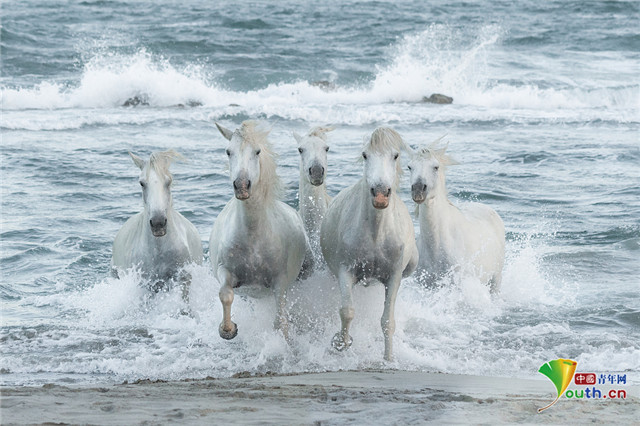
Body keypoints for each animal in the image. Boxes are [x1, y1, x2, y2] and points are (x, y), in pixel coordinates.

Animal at [111, 151, 204, 296]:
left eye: (169, 181)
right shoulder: (146, 285)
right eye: (142, 183)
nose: (158, 223)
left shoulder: (183, 279)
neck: (159, 250)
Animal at [210, 120, 308, 340]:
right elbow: (225, 294)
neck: (252, 237)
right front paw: (227, 329)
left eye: (257, 151)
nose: (241, 186)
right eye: (228, 151)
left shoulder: (280, 282)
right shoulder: (224, 269)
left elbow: (280, 320)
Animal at [320, 126, 420, 360]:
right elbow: (347, 312)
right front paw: (341, 343)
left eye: (396, 155)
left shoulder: (394, 277)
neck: (376, 234)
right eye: (365, 155)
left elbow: (387, 322)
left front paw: (388, 358)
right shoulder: (345, 271)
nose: (381, 194)